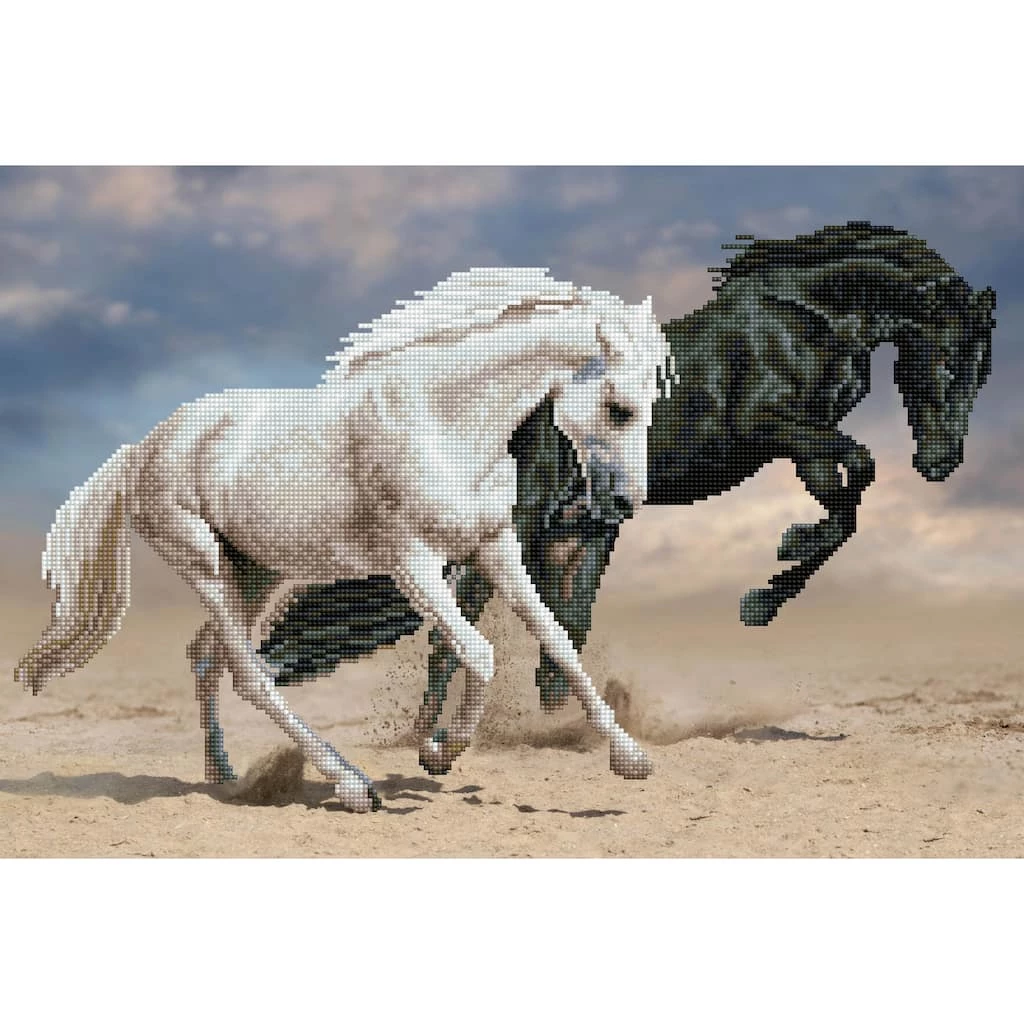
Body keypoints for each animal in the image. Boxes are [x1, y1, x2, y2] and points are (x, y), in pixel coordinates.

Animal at [14, 268, 669, 811]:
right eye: (618, 407)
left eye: (652, 402)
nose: (623, 503)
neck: (444, 422)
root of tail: (144, 448)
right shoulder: (412, 564)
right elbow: (477, 653)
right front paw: (438, 753)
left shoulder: (494, 545)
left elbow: (557, 640)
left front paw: (632, 760)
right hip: (206, 567)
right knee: (250, 675)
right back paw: (352, 786)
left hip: (254, 572)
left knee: (206, 659)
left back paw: (225, 777)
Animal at [260, 223, 996, 766]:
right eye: (948, 359)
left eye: (983, 370)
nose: (940, 463)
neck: (804, 317)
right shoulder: (769, 426)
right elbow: (861, 470)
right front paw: (766, 590)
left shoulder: (798, 443)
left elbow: (845, 508)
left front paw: (772, 582)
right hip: (519, 529)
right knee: (459, 625)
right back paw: (432, 740)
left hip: (574, 533)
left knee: (556, 630)